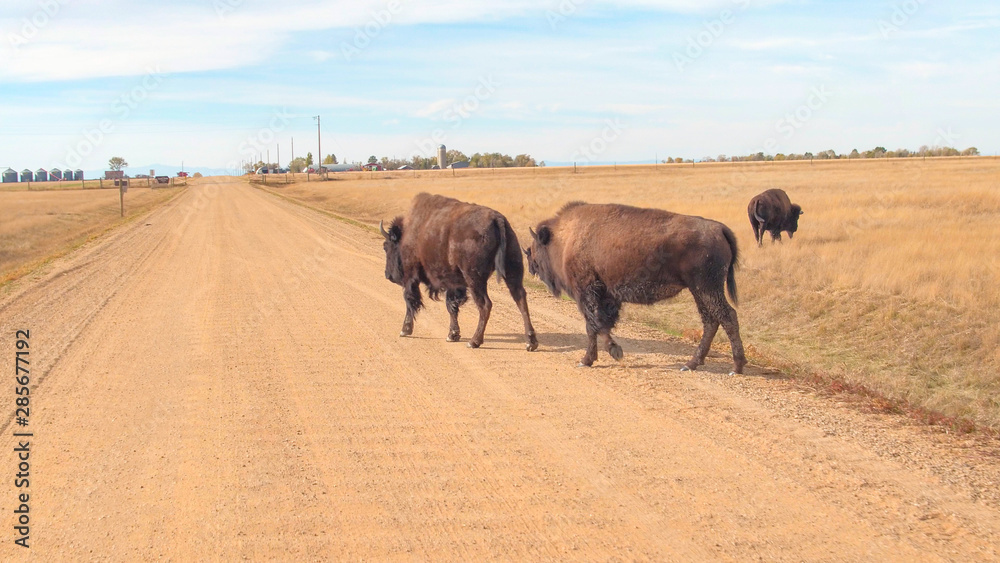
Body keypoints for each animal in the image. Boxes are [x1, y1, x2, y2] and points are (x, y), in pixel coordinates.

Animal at [380, 194, 540, 352]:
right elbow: (451, 306)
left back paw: (474, 342)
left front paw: (405, 330)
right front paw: (452, 335)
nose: (388, 275)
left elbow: (410, 300)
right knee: (520, 299)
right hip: (512, 272)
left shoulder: (411, 276)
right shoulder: (454, 284)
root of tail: (497, 219)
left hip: (475, 279)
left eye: (386, 246)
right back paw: (531, 343)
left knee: (485, 304)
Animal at [528, 203, 748, 374]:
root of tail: (719, 229)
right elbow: (600, 325)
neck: (566, 236)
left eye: (537, 245)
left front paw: (595, 357)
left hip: (706, 288)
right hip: (699, 290)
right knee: (711, 321)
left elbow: (593, 325)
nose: (531, 266)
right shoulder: (606, 296)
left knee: (727, 316)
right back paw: (691, 364)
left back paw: (736, 367)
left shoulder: (587, 293)